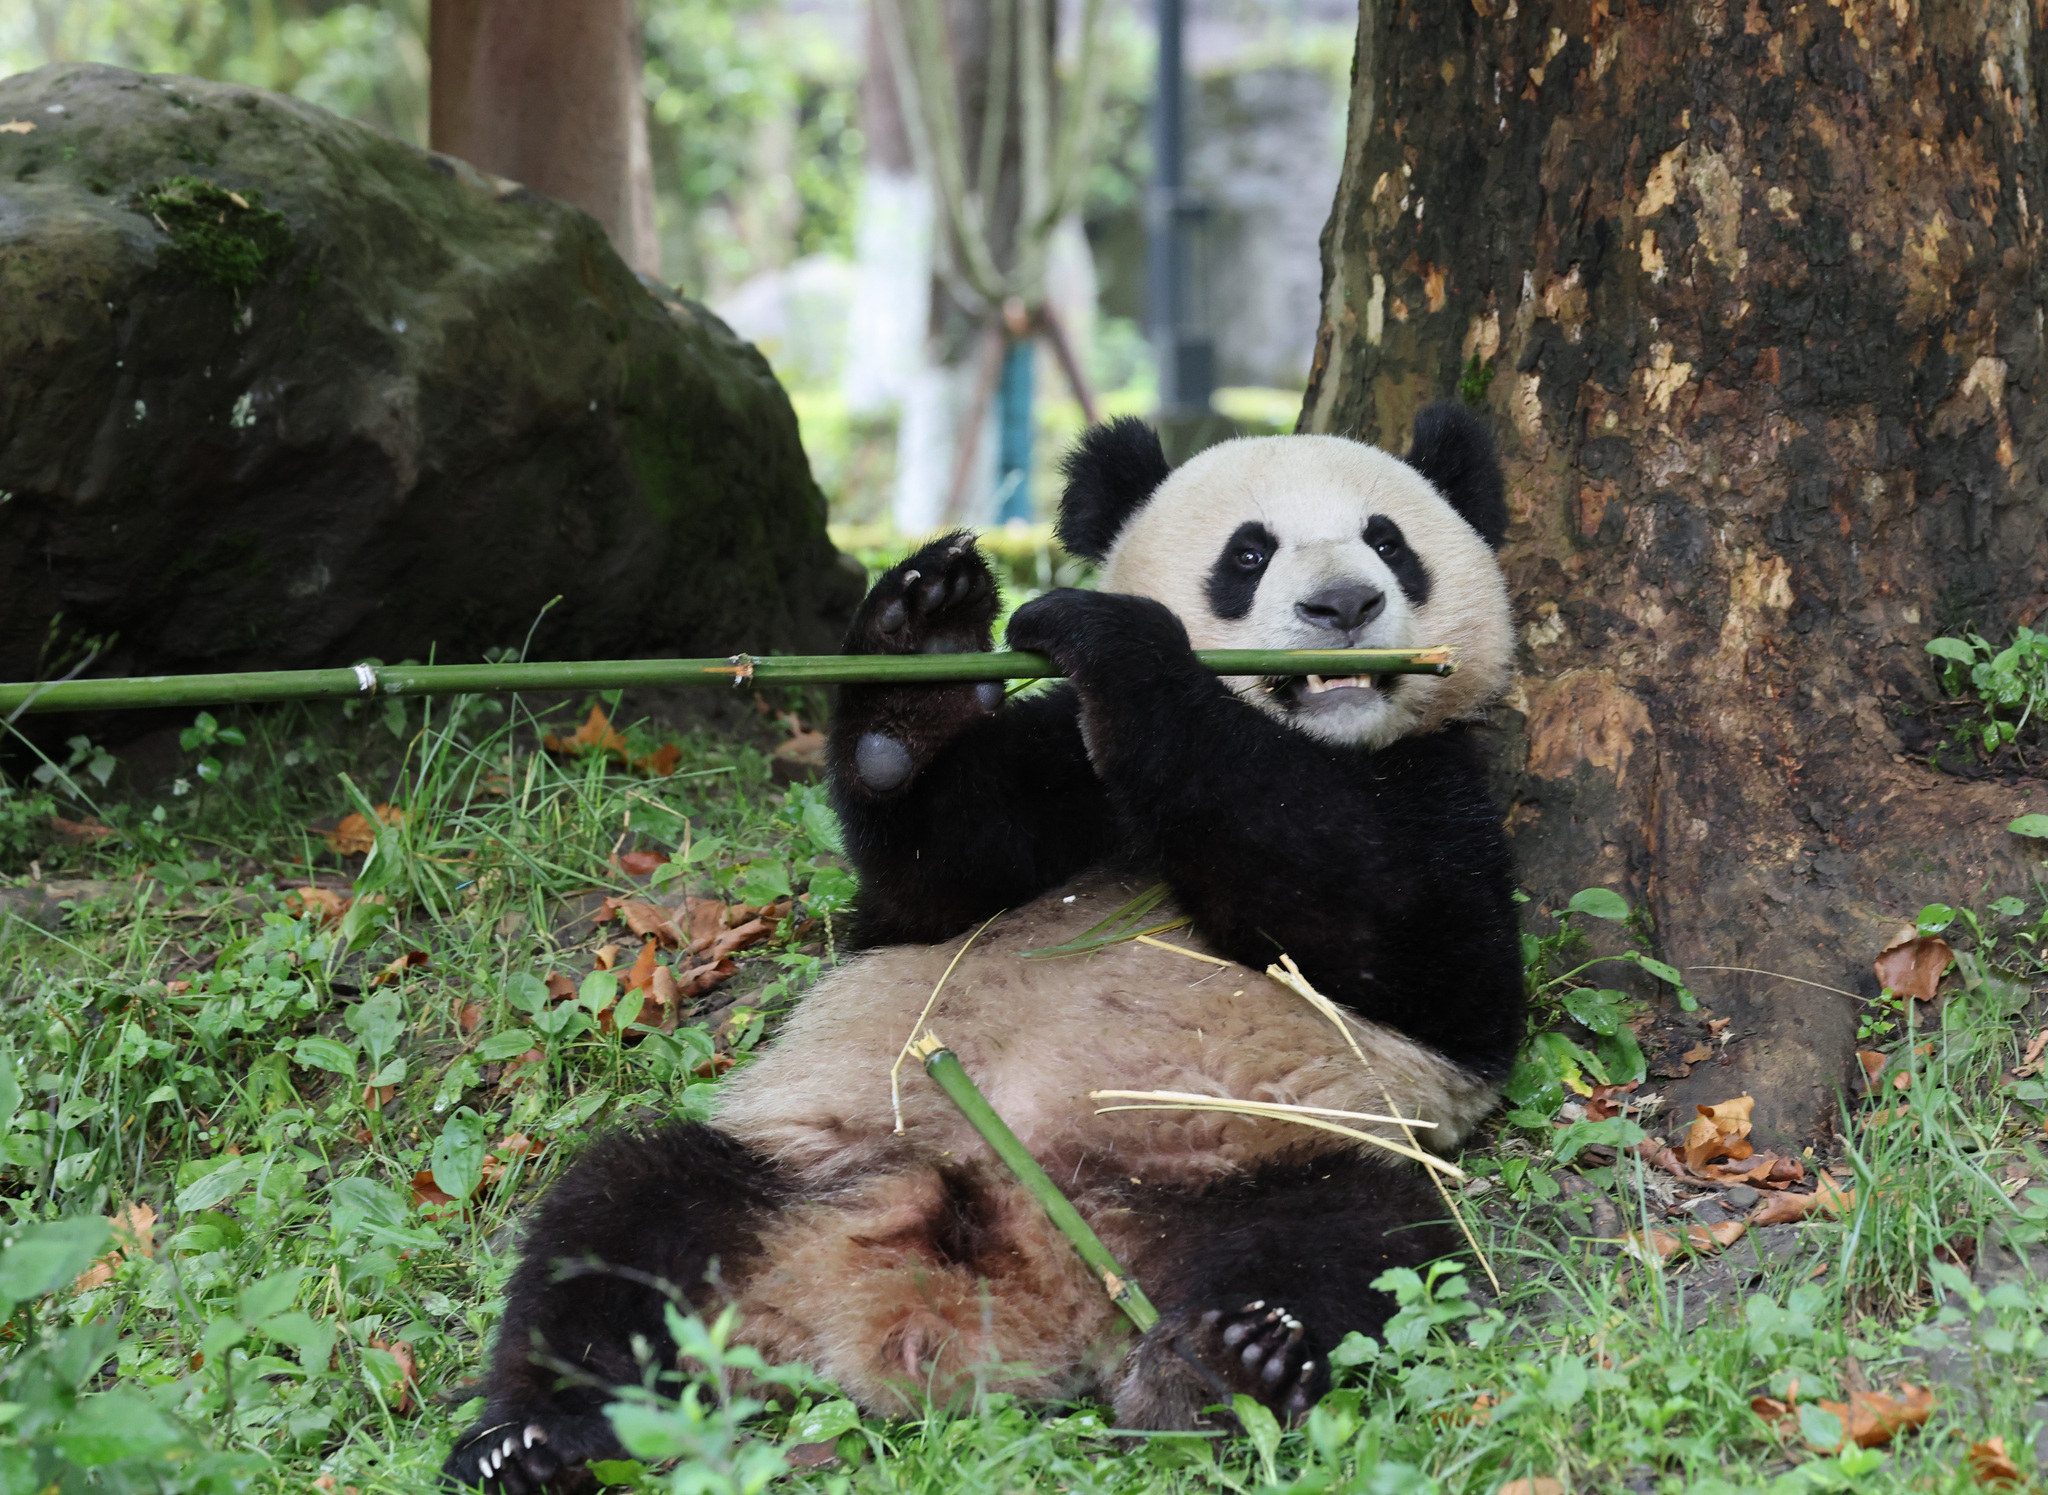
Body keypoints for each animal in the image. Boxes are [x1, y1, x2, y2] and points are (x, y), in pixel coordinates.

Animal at [444, 403, 1524, 1491]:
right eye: (1248, 553)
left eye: (1390, 542)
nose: (1344, 603)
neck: (1314, 735)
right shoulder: (1054, 781)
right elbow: (933, 867)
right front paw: (925, 626)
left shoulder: (1444, 794)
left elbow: (1398, 938)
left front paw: (1125, 645)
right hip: (807, 1165)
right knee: (618, 1222)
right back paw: (532, 1439)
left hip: (1253, 1159)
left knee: (1349, 1242)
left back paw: (1222, 1362)